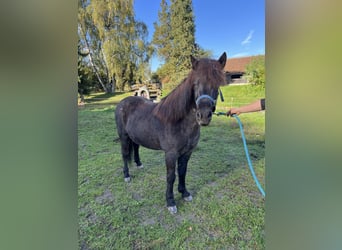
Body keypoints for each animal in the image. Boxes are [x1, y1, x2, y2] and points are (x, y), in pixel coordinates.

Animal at [114, 51, 227, 214]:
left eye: (217, 84)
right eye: (195, 83)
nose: (204, 116)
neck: (179, 121)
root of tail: (122, 103)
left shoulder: (187, 152)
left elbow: (182, 172)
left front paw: (184, 193)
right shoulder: (171, 154)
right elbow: (171, 176)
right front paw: (171, 202)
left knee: (136, 147)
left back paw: (139, 164)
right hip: (123, 137)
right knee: (124, 155)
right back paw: (127, 176)